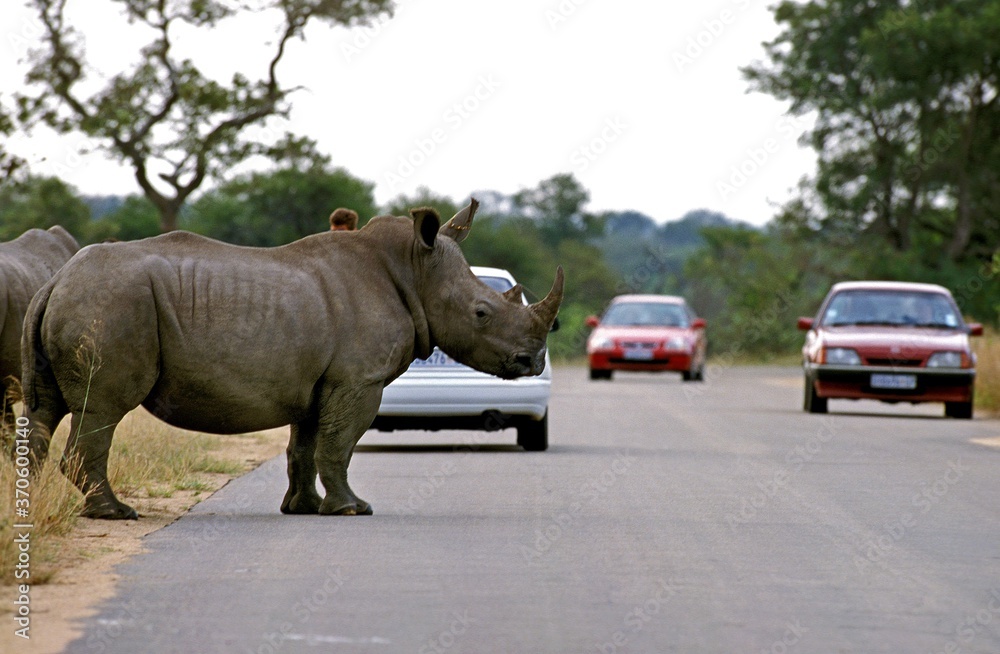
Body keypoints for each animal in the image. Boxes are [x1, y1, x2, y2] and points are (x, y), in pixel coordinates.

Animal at [21, 200, 563, 519]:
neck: (414, 268)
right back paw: (115, 513)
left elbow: (304, 446)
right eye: (482, 312)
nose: (532, 360)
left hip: (80, 301)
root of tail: (57, 279)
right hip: (110, 303)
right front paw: (353, 510)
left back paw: (26, 503)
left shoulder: (318, 381)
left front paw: (303, 508)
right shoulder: (358, 380)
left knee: (46, 409)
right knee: (103, 407)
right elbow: (339, 445)